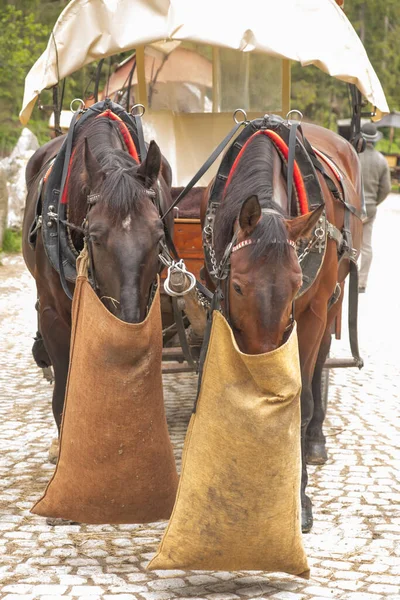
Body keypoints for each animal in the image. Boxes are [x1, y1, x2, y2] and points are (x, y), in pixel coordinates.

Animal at [202, 120, 360, 528]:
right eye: (238, 286)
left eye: (294, 284)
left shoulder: (310, 313)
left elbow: (300, 400)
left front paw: (298, 498)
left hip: (332, 303)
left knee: (320, 361)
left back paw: (316, 439)